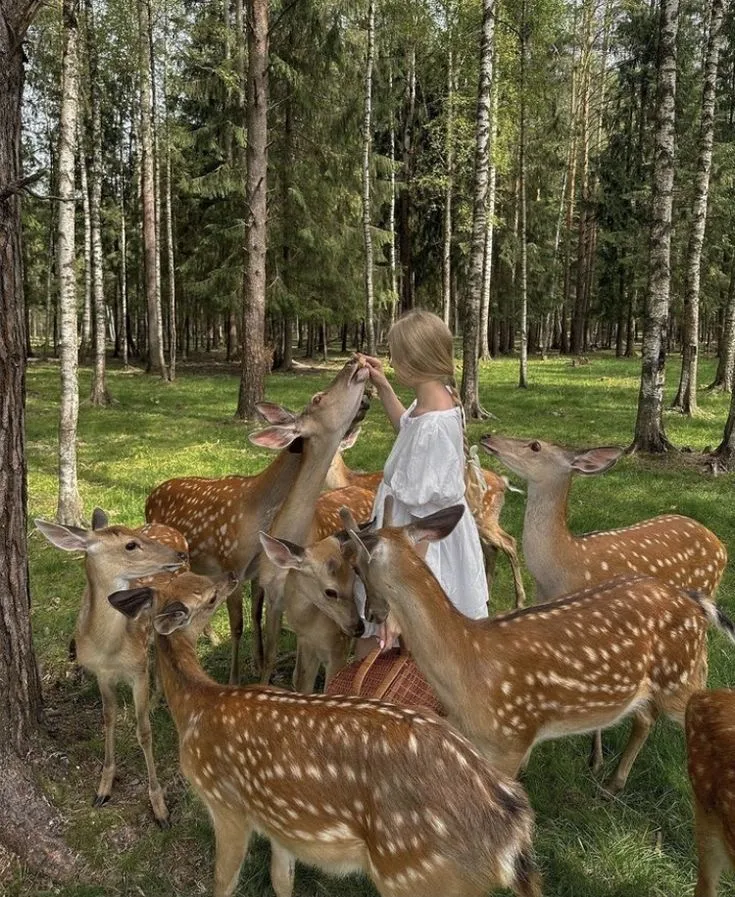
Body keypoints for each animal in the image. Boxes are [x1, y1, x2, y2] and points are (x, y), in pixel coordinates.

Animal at [34, 510, 188, 827]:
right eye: (130, 545)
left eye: (136, 536)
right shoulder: (101, 674)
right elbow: (108, 719)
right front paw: (103, 788)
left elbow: (144, 731)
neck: (109, 649)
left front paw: (159, 807)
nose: (178, 554)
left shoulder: (137, 672)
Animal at [107, 572, 542, 897]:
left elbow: (223, 883)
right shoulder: (278, 822)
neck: (196, 707)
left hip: (414, 873)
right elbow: (281, 881)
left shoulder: (226, 803)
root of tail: (511, 827)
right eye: (204, 590)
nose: (231, 577)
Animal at [145, 359, 371, 683]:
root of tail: (149, 495)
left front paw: (256, 663)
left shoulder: (256, 575)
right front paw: (235, 679)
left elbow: (256, 620)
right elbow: (239, 625)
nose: (356, 363)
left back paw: (210, 636)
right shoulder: (234, 566)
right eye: (318, 398)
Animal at [326, 427, 527, 607]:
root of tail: (502, 483)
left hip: (486, 517)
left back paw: (519, 600)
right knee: (491, 549)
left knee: (509, 542)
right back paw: (488, 597)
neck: (349, 479)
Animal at [346, 504, 735, 794]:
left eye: (358, 568)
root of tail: (695, 603)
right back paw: (614, 781)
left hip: (684, 673)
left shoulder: (509, 739)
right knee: (644, 717)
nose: (371, 615)